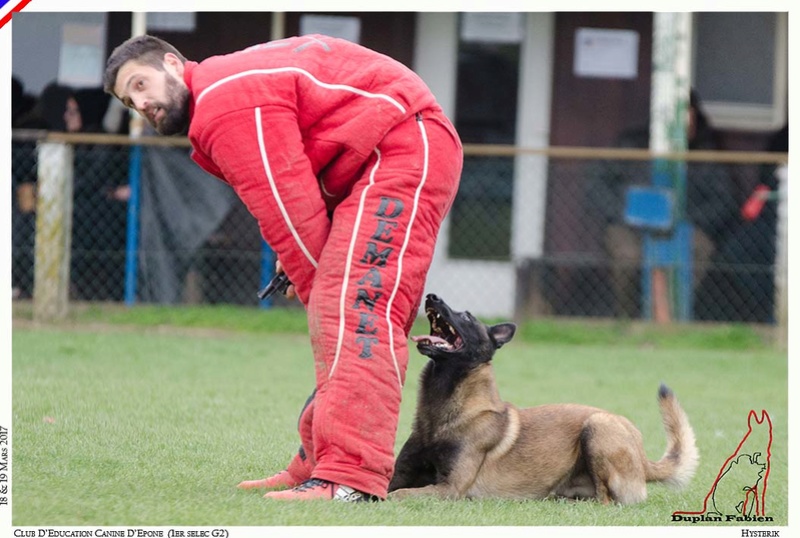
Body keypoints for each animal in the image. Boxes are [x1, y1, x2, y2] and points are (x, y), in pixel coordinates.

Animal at [390, 294, 700, 502]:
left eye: (466, 316)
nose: (431, 296)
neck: (439, 414)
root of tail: (644, 459)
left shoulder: (450, 488)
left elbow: (396, 494)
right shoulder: (400, 475)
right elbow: (391, 486)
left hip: (598, 426)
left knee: (607, 500)